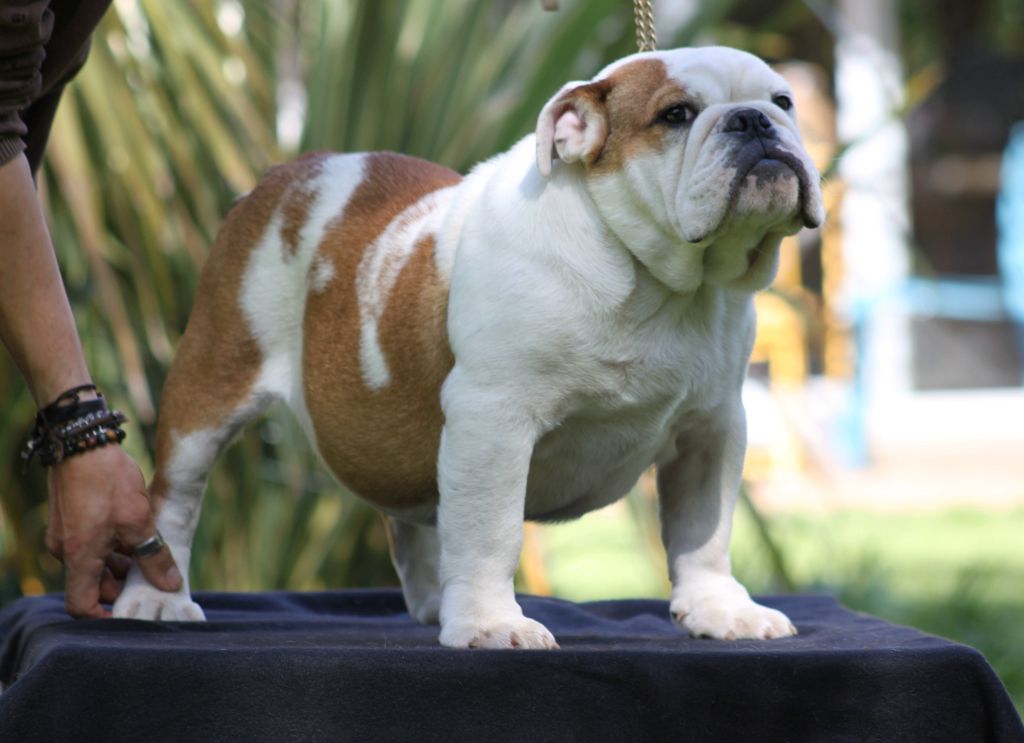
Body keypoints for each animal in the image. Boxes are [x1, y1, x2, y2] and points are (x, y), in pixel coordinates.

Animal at [112, 46, 824, 649]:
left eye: (784, 101)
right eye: (675, 114)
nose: (755, 121)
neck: (658, 281)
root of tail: (291, 172)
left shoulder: (713, 428)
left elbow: (706, 531)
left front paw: (721, 611)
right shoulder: (494, 419)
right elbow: (491, 531)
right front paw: (490, 624)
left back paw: (434, 602)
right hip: (211, 379)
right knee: (175, 496)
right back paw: (156, 602)